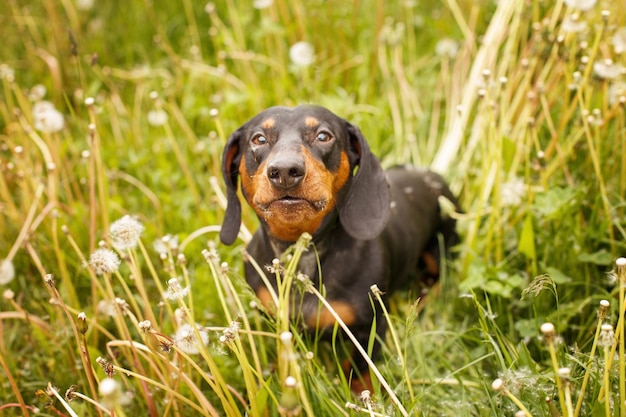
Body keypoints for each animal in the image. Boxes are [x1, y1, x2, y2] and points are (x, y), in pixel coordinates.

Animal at [219, 105, 458, 392]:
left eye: (324, 136)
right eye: (259, 139)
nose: (285, 171)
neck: (303, 255)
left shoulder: (370, 328)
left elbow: (362, 368)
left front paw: (360, 392)